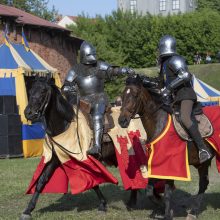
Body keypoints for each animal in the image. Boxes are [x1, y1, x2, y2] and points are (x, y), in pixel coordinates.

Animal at [117, 75, 216, 219]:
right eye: (122, 96)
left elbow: (167, 193)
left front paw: (167, 213)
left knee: (203, 184)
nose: (122, 121)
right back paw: (193, 211)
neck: (159, 122)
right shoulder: (159, 165)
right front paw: (162, 209)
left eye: (135, 95)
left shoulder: (170, 166)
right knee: (204, 183)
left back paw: (193, 212)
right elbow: (150, 191)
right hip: (201, 163)